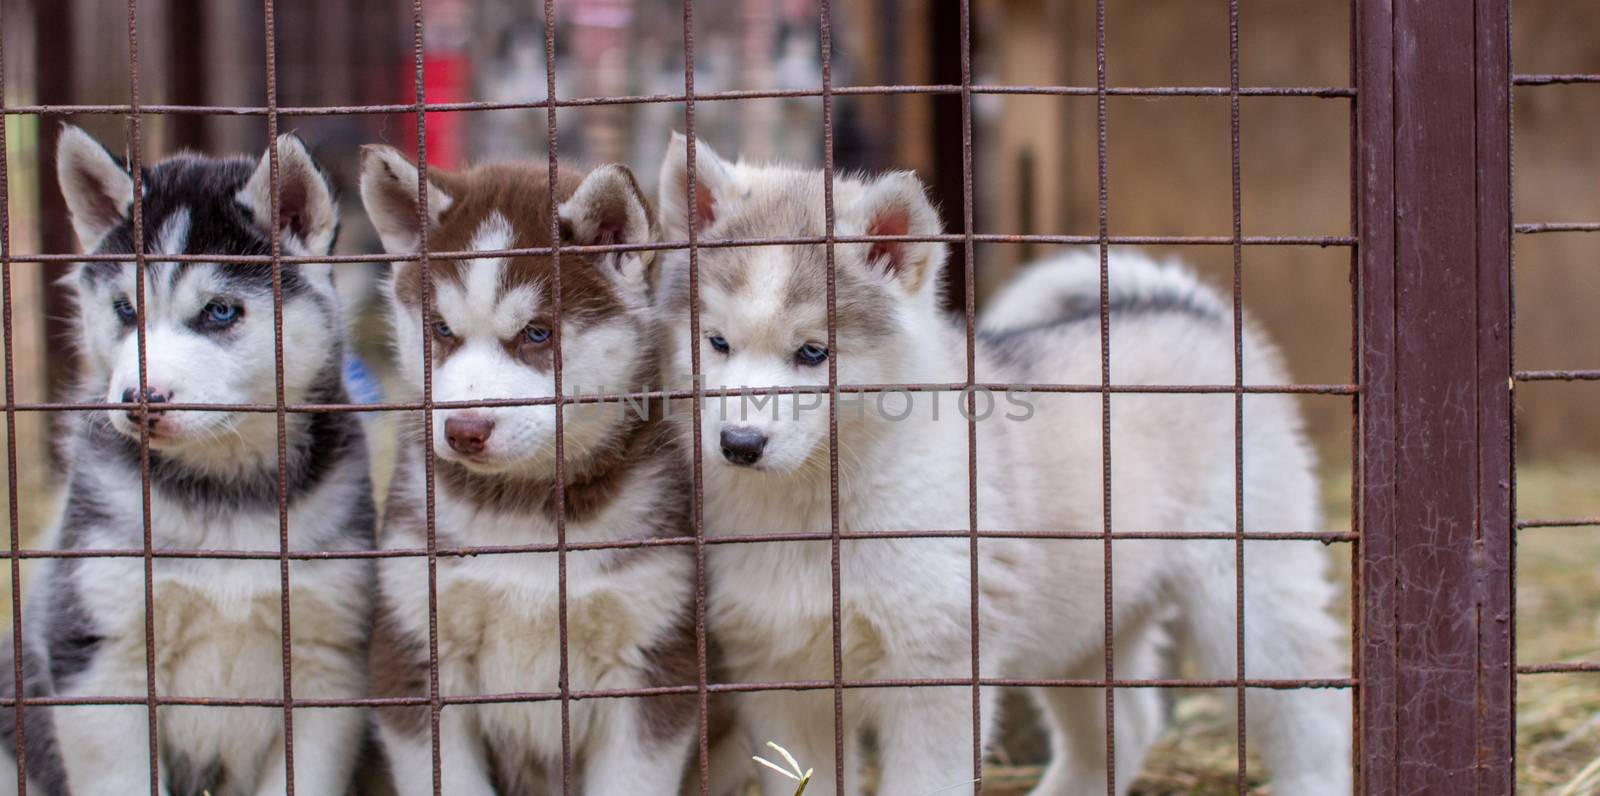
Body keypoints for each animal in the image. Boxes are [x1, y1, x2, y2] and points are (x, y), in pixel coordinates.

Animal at [0, 127, 374, 792]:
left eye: (220, 311)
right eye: (125, 310)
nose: (139, 400)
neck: (222, 493)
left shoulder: (325, 659)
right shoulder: (99, 651)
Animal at [649, 136, 1350, 796]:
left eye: (813, 353)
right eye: (716, 343)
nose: (739, 442)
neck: (811, 508)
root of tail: (1187, 307)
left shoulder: (937, 671)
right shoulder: (778, 681)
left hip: (1251, 598)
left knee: (1311, 721)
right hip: (1083, 626)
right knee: (1124, 727)